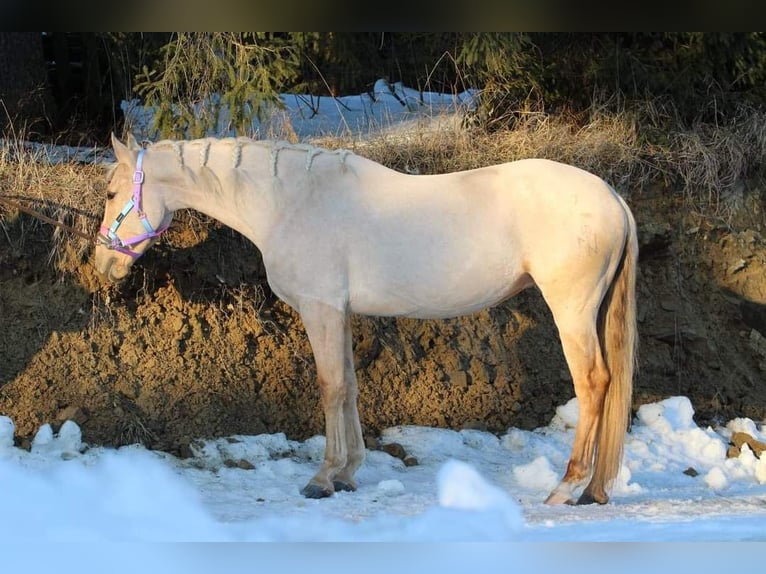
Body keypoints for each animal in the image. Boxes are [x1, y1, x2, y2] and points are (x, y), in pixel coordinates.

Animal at [93, 133, 640, 506]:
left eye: (110, 193)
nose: (101, 264)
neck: (289, 202)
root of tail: (613, 197)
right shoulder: (339, 313)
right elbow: (351, 386)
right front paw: (349, 472)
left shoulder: (320, 309)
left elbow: (330, 386)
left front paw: (324, 478)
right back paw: (594, 490)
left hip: (571, 309)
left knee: (594, 382)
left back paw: (566, 488)